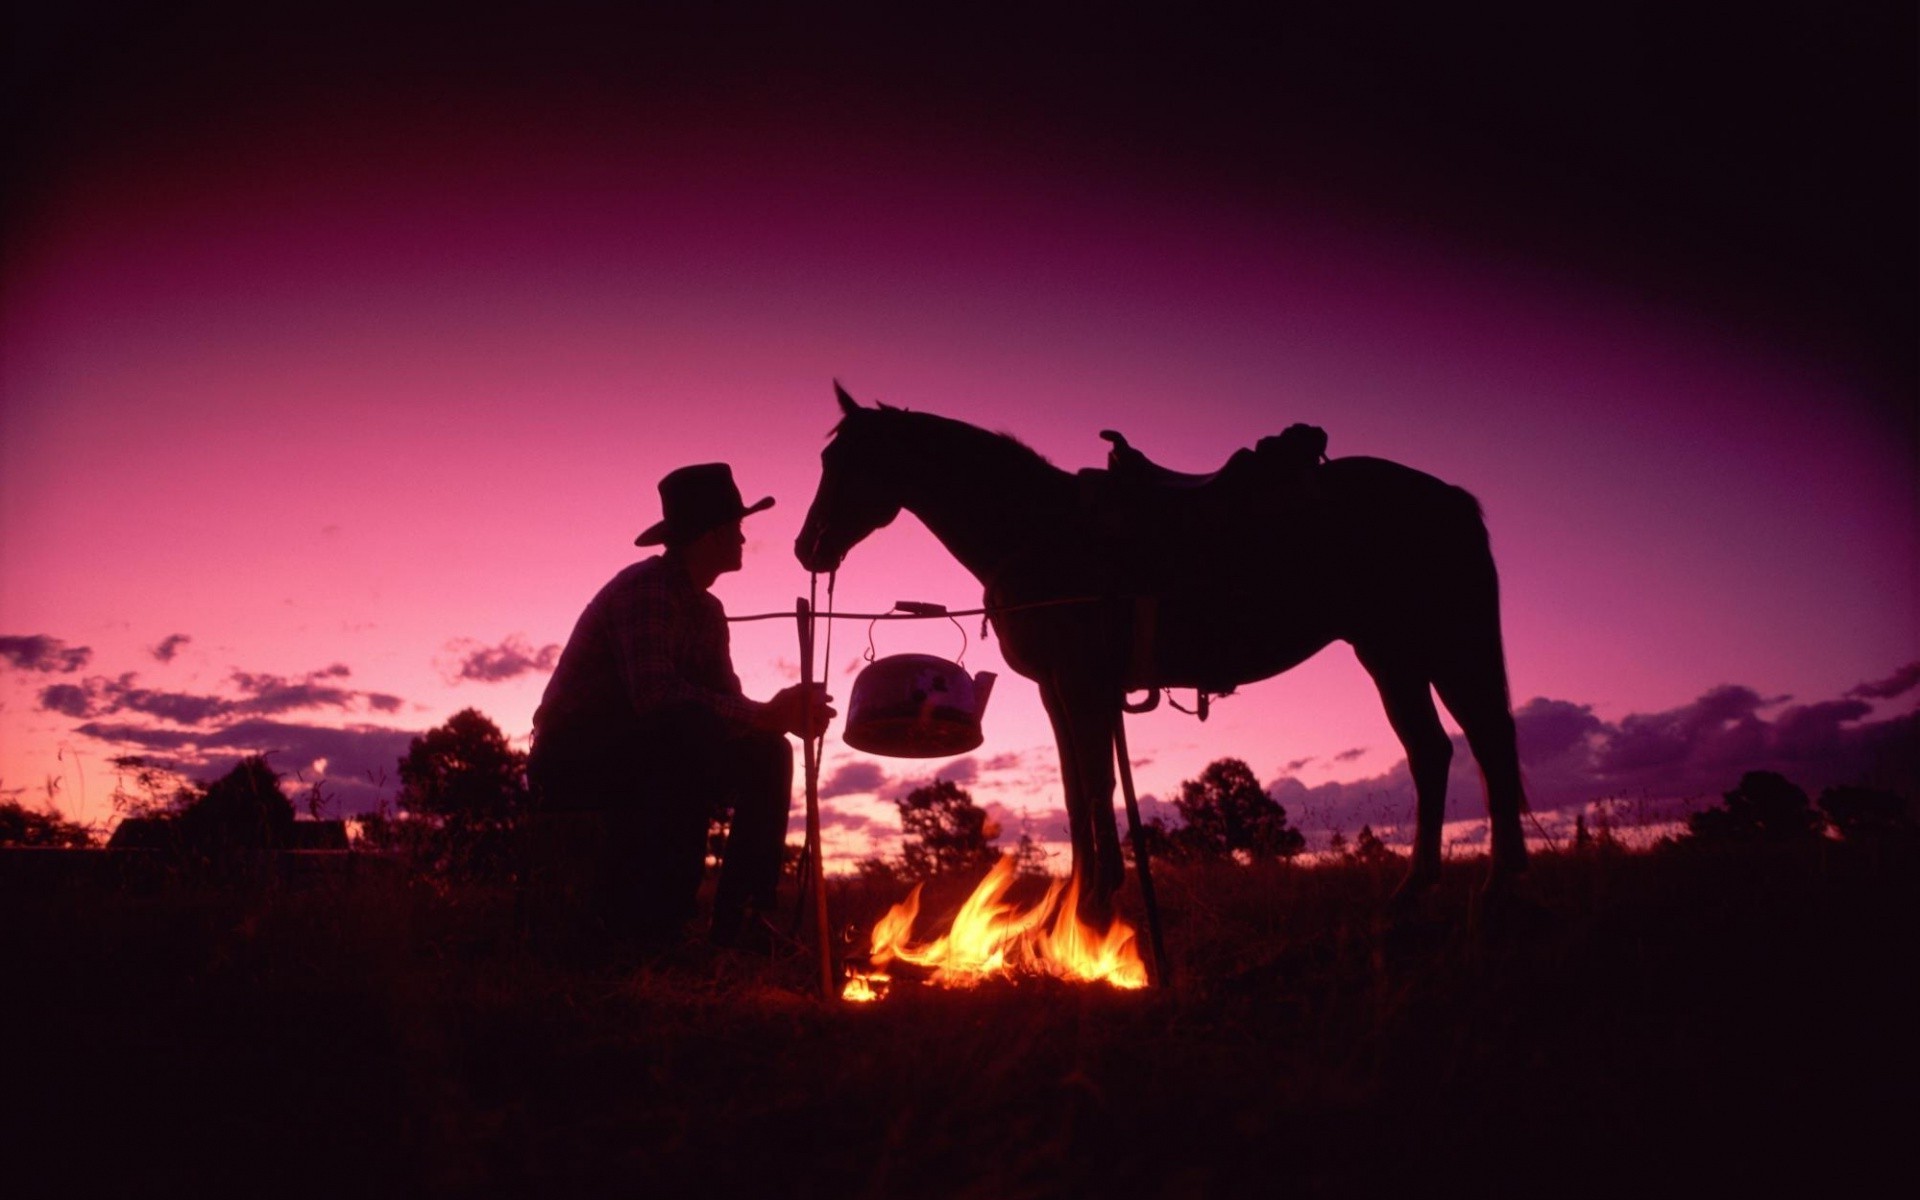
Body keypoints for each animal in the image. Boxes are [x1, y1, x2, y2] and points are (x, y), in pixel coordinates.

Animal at [798, 387, 1528, 913]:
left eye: (843, 463)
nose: (809, 548)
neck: (1039, 528)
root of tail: (1448, 498)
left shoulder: (1081, 685)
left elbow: (1095, 785)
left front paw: (1096, 902)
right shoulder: (1058, 691)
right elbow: (1075, 790)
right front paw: (1083, 897)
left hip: (1444, 647)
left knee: (1487, 744)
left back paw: (1500, 888)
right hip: (1390, 653)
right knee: (1431, 752)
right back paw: (1415, 891)